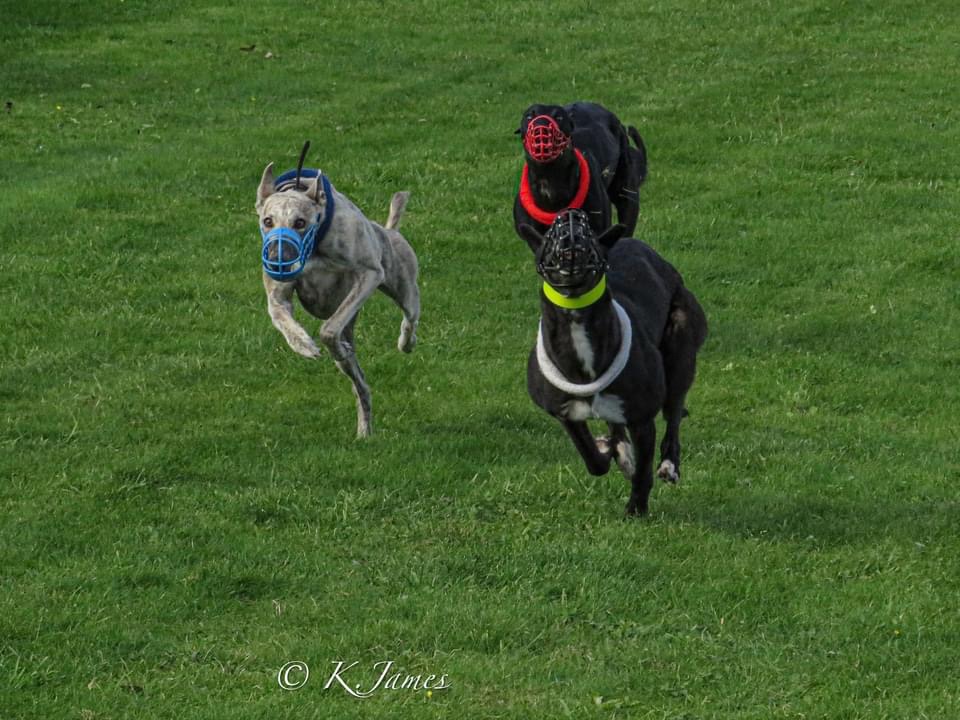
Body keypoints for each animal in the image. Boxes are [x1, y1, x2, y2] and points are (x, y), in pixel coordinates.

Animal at [255, 147, 420, 438]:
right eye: (268, 220)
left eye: (300, 222)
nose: (277, 261)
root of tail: (389, 230)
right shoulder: (277, 298)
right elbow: (281, 315)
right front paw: (305, 346)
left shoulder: (369, 275)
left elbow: (328, 329)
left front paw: (326, 343)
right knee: (361, 386)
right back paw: (364, 429)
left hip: (404, 285)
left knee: (410, 316)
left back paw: (405, 342)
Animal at [520, 209, 706, 516]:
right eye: (548, 237)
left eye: (593, 238)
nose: (570, 216)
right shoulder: (564, 414)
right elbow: (593, 461)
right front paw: (608, 451)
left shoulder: (642, 419)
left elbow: (643, 472)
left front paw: (636, 509)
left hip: (681, 347)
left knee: (674, 414)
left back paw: (669, 464)